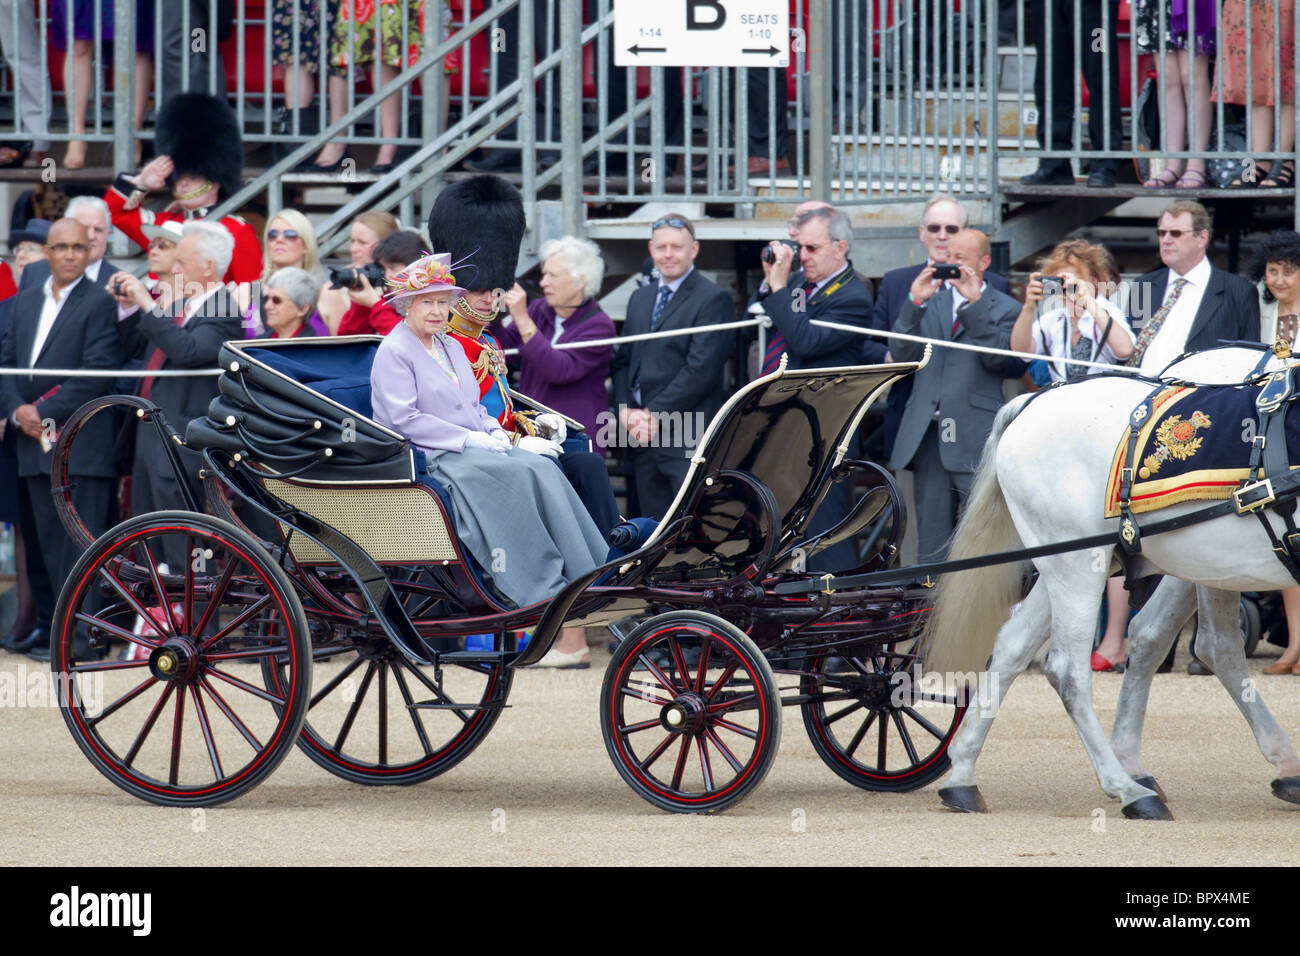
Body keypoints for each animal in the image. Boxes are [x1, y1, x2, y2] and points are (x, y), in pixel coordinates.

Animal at [920, 348, 1300, 816]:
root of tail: (1033, 401)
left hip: (1092, 562)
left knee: (1015, 644)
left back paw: (963, 775)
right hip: (1084, 565)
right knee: (1071, 669)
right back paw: (1129, 788)